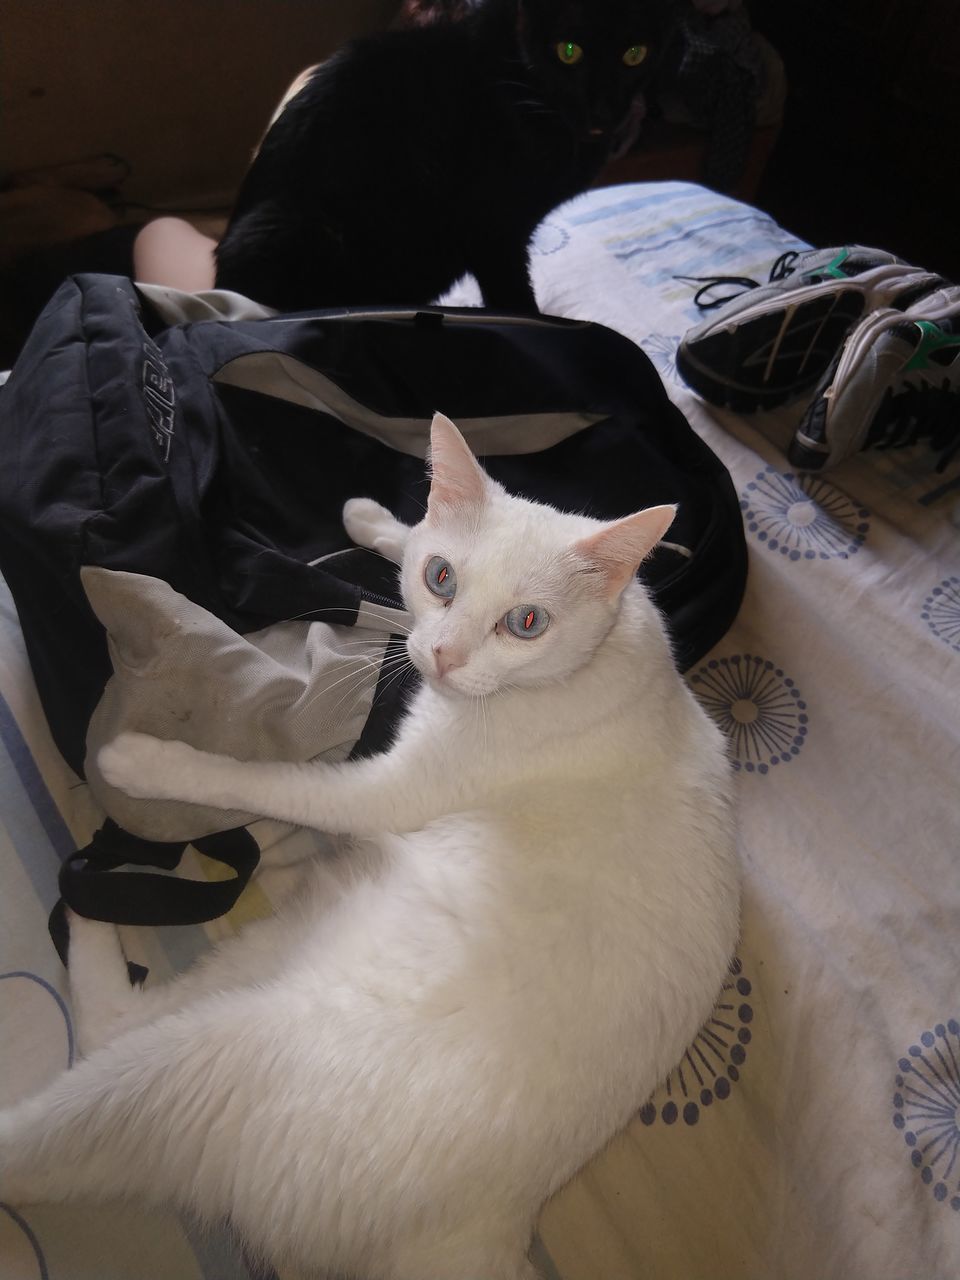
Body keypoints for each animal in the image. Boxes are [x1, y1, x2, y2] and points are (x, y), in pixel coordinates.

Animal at [0, 414, 742, 1274]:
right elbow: (404, 546)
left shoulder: (385, 792)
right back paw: (90, 911)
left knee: (65, 1107)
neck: (607, 659)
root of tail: (487, 1229)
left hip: (201, 1062)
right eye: (442, 578)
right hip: (264, 957)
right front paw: (378, 521)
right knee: (114, 1020)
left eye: (526, 623)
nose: (443, 656)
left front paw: (151, 762)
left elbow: (268, 780)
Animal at [216, 0, 670, 309]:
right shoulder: (493, 228)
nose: (602, 113)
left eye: (635, 55)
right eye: (568, 51)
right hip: (302, 228)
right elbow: (514, 298)